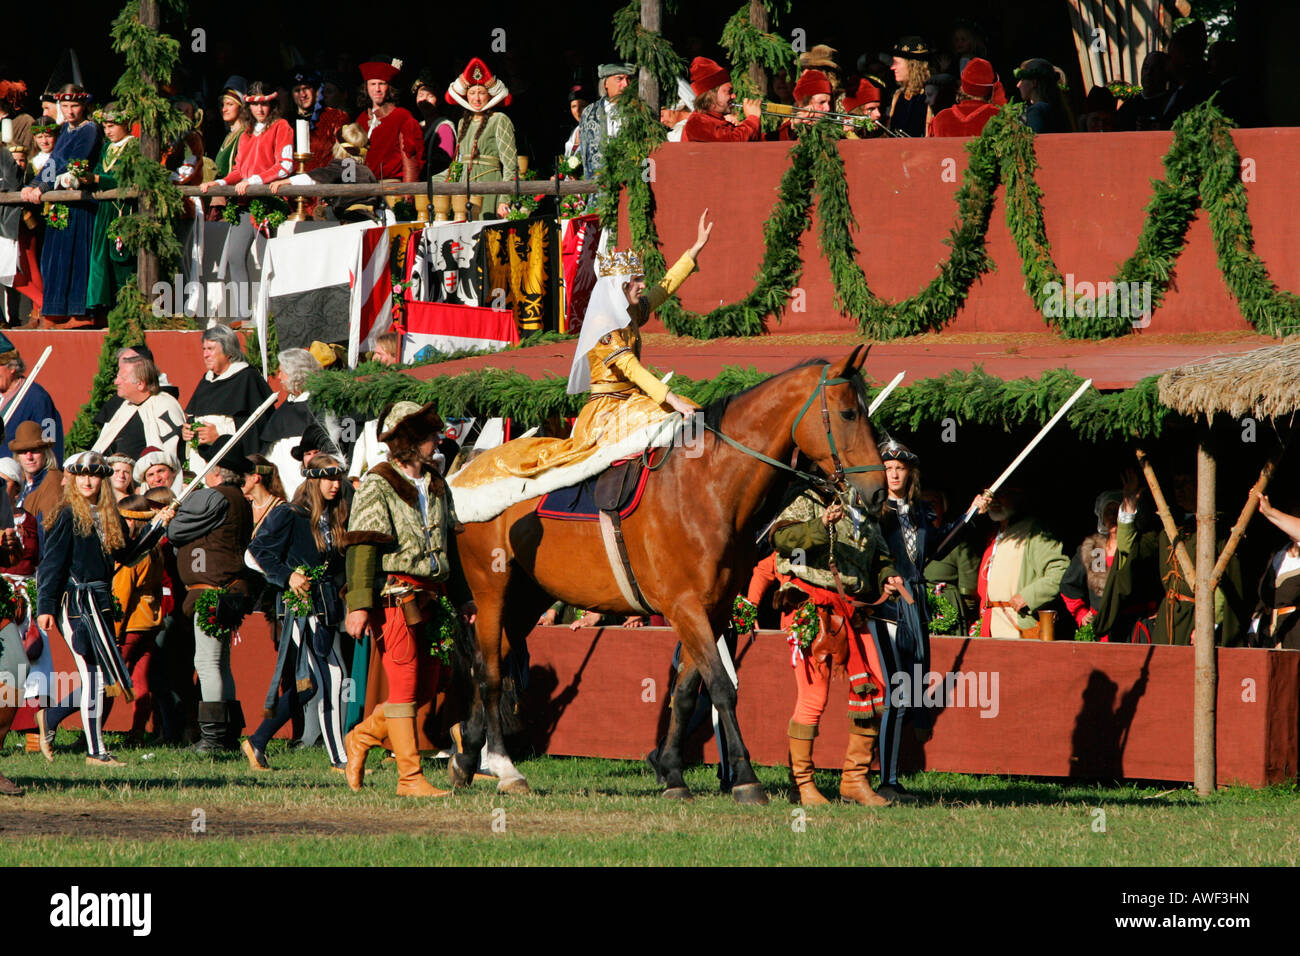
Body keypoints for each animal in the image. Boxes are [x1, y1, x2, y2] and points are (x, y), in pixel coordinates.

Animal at [452, 348, 889, 806]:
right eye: (848, 413)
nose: (879, 491)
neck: (707, 487)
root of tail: (466, 471)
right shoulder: (686, 607)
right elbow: (721, 687)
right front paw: (746, 778)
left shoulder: (711, 609)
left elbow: (684, 694)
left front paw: (674, 773)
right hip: (491, 590)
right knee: (490, 672)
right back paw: (504, 767)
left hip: (527, 597)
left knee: (492, 660)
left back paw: (467, 755)